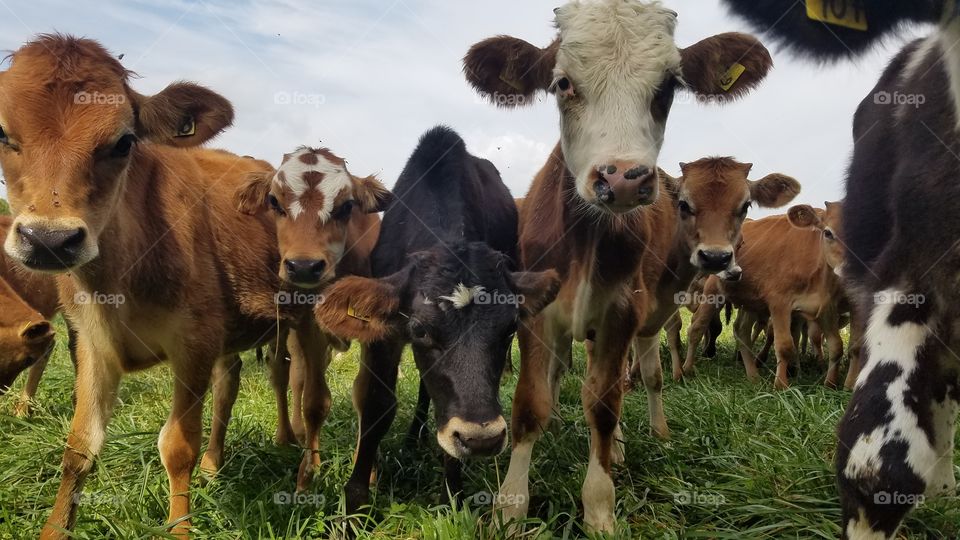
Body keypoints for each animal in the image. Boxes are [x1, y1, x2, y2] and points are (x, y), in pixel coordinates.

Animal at [0, 34, 319, 537]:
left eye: (124, 142)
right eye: (2, 134)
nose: (48, 240)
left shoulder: (194, 341)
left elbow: (177, 446)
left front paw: (180, 525)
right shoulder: (91, 341)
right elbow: (79, 446)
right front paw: (54, 528)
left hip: (298, 315)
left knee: (295, 381)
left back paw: (296, 448)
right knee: (230, 383)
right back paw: (214, 464)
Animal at [234, 145, 388, 490]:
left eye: (347, 205)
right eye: (274, 201)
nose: (303, 267)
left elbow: (366, 394)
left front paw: (367, 468)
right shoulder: (308, 325)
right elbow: (314, 400)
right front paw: (308, 473)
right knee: (284, 375)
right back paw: (288, 435)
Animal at [313, 126, 561, 514]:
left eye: (509, 329)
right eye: (420, 329)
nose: (481, 439)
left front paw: (453, 496)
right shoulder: (385, 335)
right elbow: (376, 406)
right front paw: (355, 504)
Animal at [463, 0, 775, 531]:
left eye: (668, 86)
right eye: (563, 83)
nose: (624, 179)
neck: (587, 238)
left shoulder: (622, 313)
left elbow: (605, 404)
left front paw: (599, 506)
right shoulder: (534, 313)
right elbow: (530, 404)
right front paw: (510, 508)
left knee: (632, 378)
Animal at [683, 203, 852, 389]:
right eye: (828, 233)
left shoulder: (826, 309)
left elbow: (836, 347)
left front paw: (830, 384)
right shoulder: (780, 304)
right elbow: (784, 345)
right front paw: (780, 385)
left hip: (749, 302)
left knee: (741, 331)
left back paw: (753, 376)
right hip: (713, 292)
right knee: (697, 327)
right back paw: (687, 369)